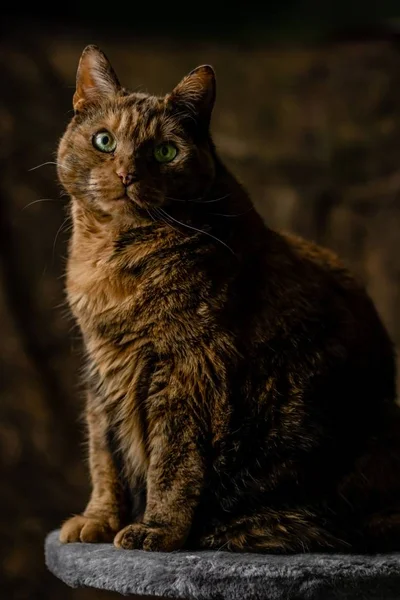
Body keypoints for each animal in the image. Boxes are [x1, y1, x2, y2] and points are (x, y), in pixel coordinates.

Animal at [57, 45, 400, 552]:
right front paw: (98, 520)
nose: (125, 174)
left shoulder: (191, 371)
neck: (113, 260)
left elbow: (173, 462)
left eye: (164, 151)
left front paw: (157, 530)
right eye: (104, 141)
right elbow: (105, 456)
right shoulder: (100, 370)